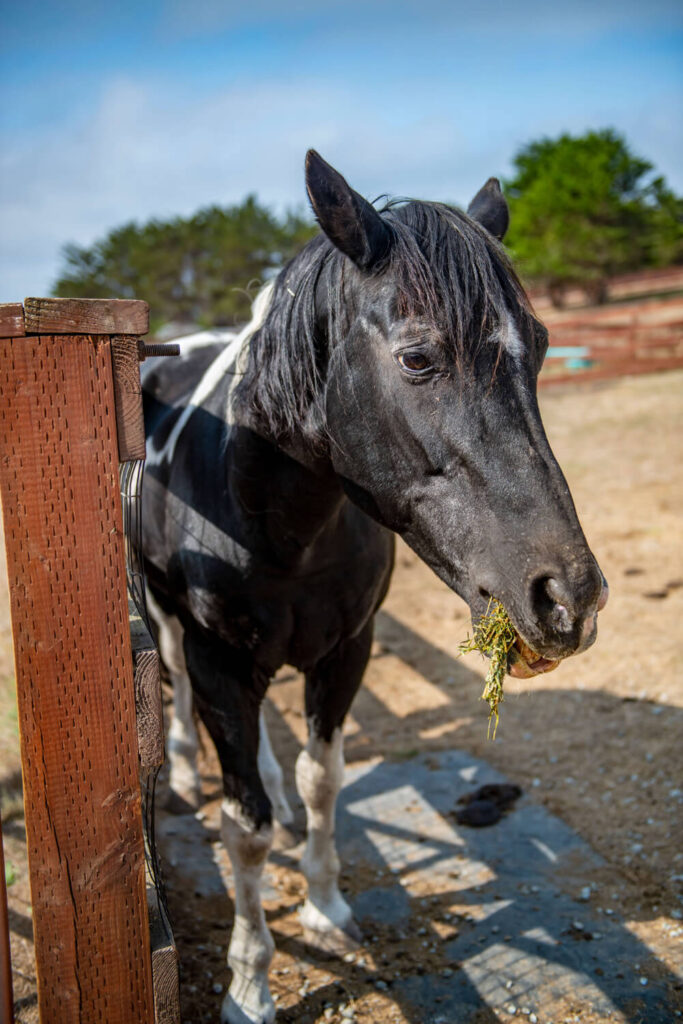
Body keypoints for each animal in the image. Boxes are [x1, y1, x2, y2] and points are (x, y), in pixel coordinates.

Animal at [139, 151, 610, 1024]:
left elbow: (322, 783)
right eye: (418, 357)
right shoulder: (221, 662)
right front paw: (249, 981)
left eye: (540, 346)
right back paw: (183, 769)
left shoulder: (342, 653)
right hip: (170, 622)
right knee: (181, 695)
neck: (279, 528)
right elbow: (243, 827)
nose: (568, 600)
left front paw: (326, 908)